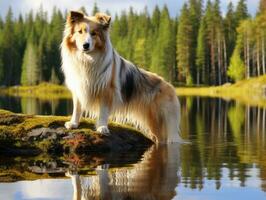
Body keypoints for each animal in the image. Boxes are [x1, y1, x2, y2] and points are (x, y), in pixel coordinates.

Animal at [61, 10, 184, 144]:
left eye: (94, 34)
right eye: (80, 31)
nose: (85, 45)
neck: (88, 59)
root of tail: (169, 85)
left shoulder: (106, 91)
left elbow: (103, 112)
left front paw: (102, 127)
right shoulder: (79, 88)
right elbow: (77, 108)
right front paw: (73, 123)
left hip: (163, 121)